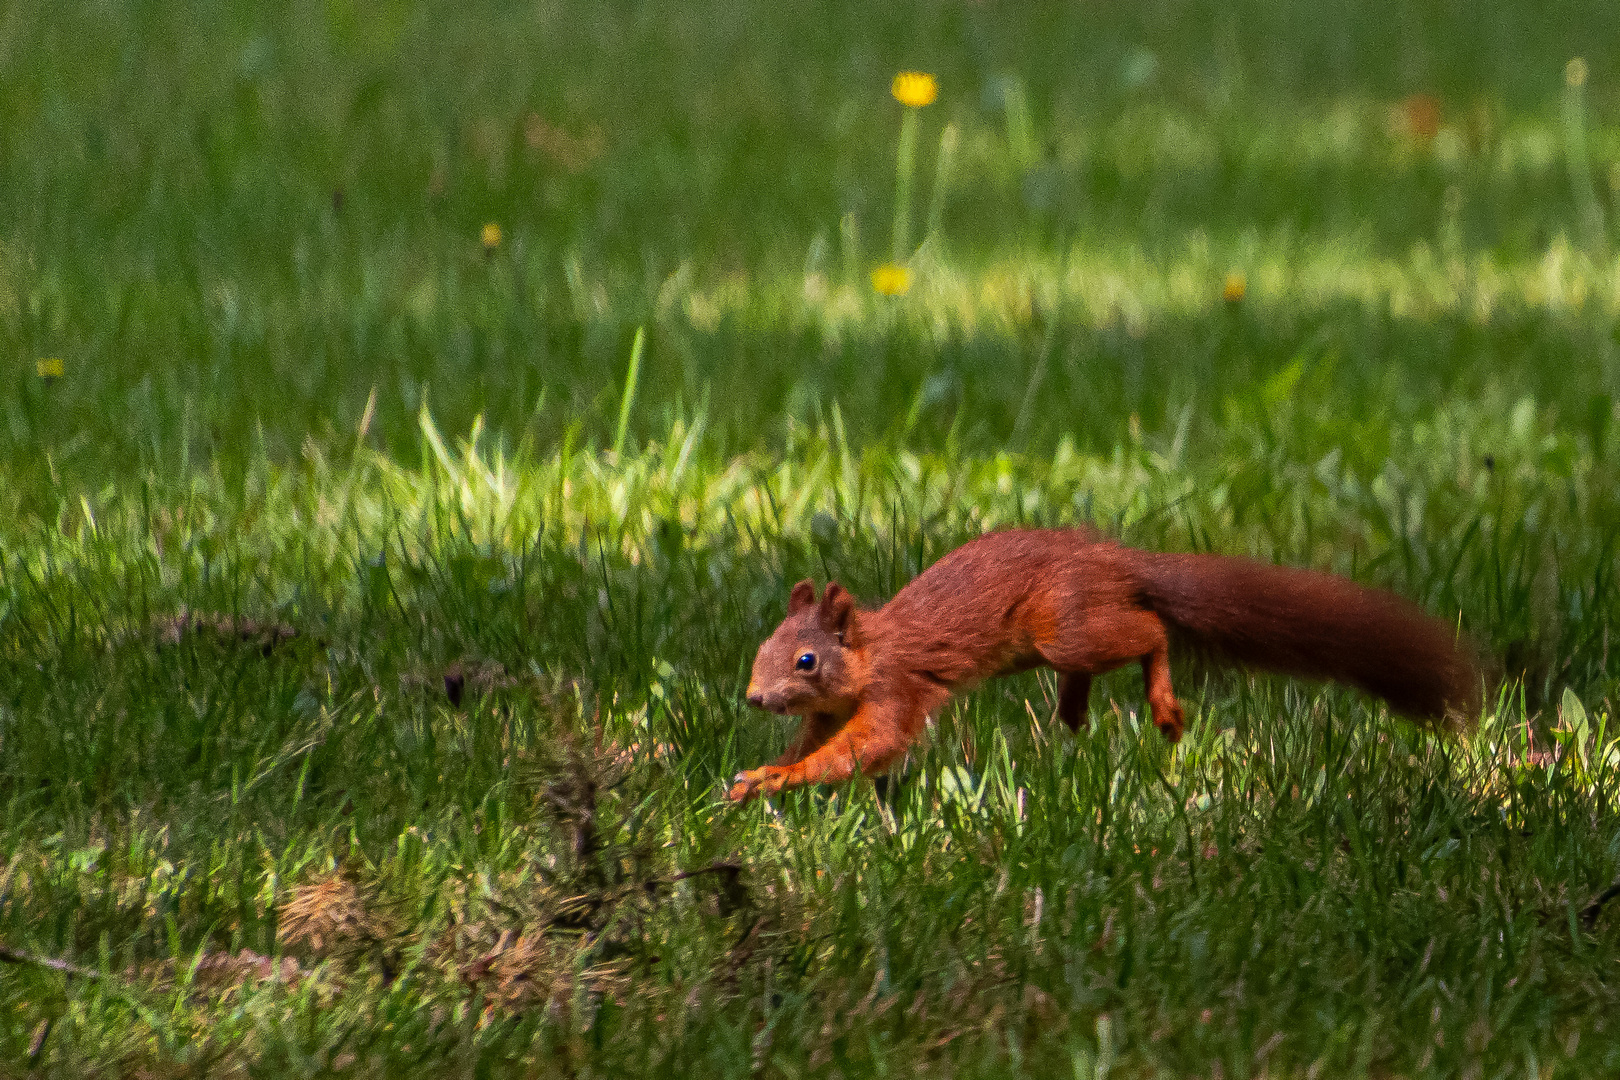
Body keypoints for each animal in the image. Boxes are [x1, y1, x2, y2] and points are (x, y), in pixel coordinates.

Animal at [732, 531, 1483, 803]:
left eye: (805, 660)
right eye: (762, 651)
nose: (754, 699)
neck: (867, 654)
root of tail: (1117, 559)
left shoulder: (897, 687)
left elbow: (870, 745)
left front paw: (781, 780)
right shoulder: (828, 710)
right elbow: (814, 741)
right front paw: (763, 774)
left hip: (1064, 627)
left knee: (1150, 631)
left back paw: (1163, 706)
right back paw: (1071, 710)